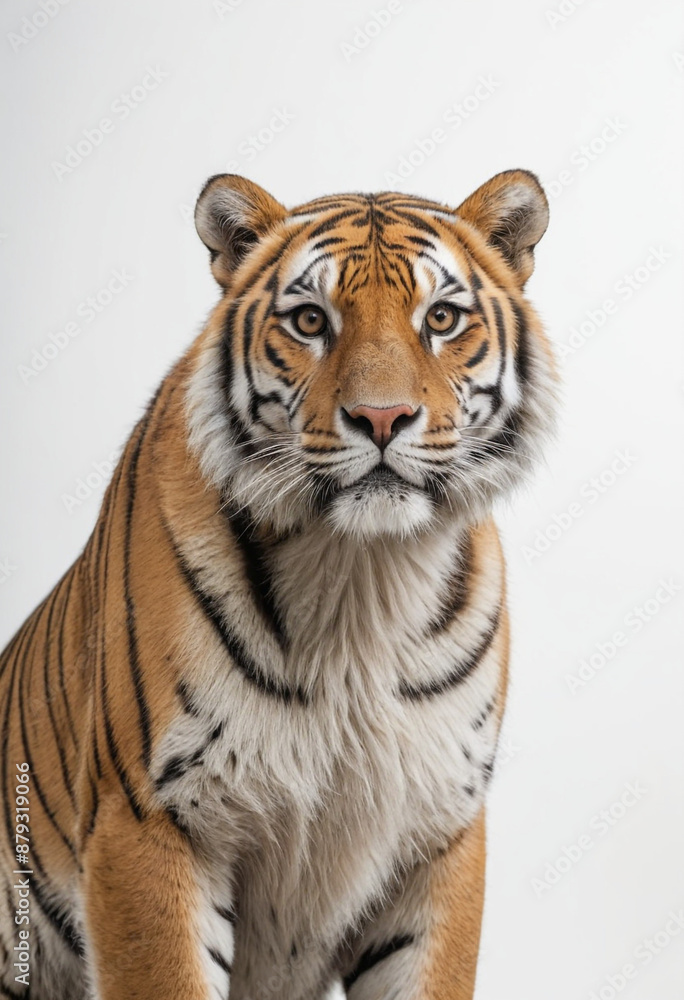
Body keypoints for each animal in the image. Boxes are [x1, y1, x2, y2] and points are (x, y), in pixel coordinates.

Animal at [0, 168, 557, 1000]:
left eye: (442, 317)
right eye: (309, 320)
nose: (383, 417)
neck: (364, 574)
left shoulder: (439, 832)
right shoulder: (151, 821)